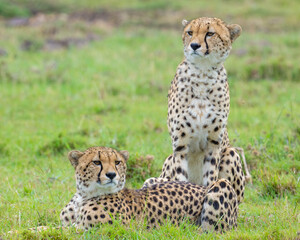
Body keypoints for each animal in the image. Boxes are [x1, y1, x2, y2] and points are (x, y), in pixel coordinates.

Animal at [61, 146, 238, 232]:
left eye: (117, 162)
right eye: (96, 162)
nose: (111, 175)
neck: (85, 196)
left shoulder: (108, 230)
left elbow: (66, 231)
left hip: (222, 184)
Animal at [143, 17, 248, 203]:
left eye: (210, 33)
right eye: (190, 32)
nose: (194, 45)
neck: (202, 74)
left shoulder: (214, 143)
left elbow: (211, 177)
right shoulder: (180, 144)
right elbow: (180, 177)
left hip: (231, 153)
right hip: (165, 163)